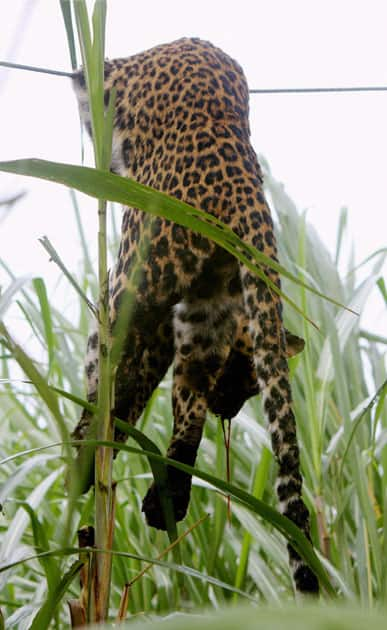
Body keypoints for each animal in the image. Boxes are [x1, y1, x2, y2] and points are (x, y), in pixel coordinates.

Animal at [71, 37, 320, 596]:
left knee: (109, 358)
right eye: (247, 381)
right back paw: (165, 499)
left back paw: (86, 451)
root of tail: (245, 186)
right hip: (203, 315)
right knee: (186, 416)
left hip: (130, 276)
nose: (229, 407)